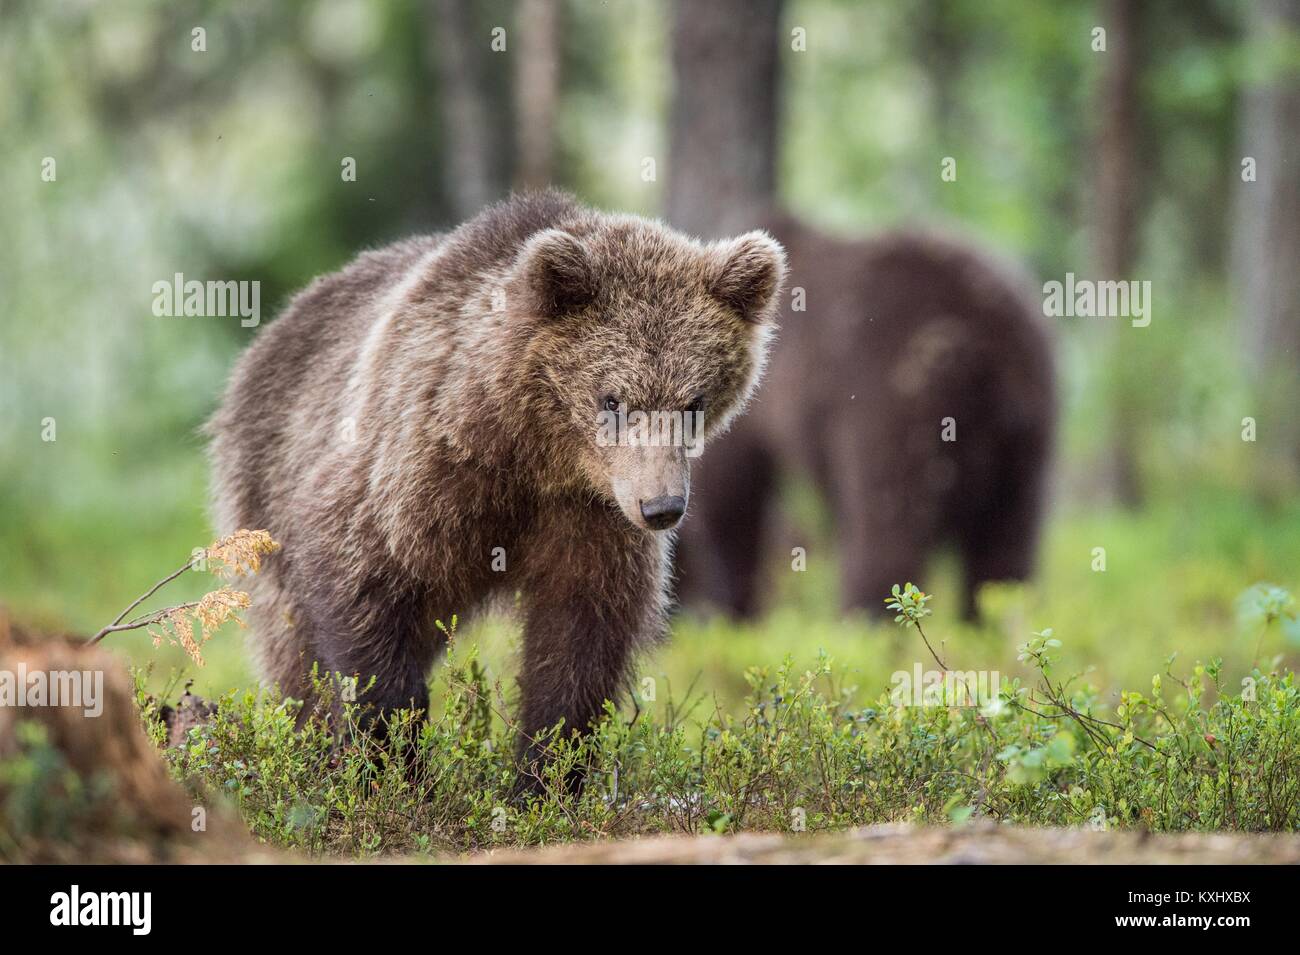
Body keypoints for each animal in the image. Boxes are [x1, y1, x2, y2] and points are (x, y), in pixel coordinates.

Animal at [206, 190, 786, 783]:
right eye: (613, 400)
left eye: (693, 402)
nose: (661, 507)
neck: (533, 452)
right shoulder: (416, 470)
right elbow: (358, 577)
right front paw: (392, 756)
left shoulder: (590, 520)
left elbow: (579, 643)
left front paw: (546, 773)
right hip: (263, 490)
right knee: (293, 651)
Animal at [676, 213, 1055, 621]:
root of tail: (992, 351)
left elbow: (730, 494)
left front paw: (730, 607)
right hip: (1026, 445)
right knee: (1006, 547)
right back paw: (993, 618)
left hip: (897, 403)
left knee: (886, 528)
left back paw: (866, 620)